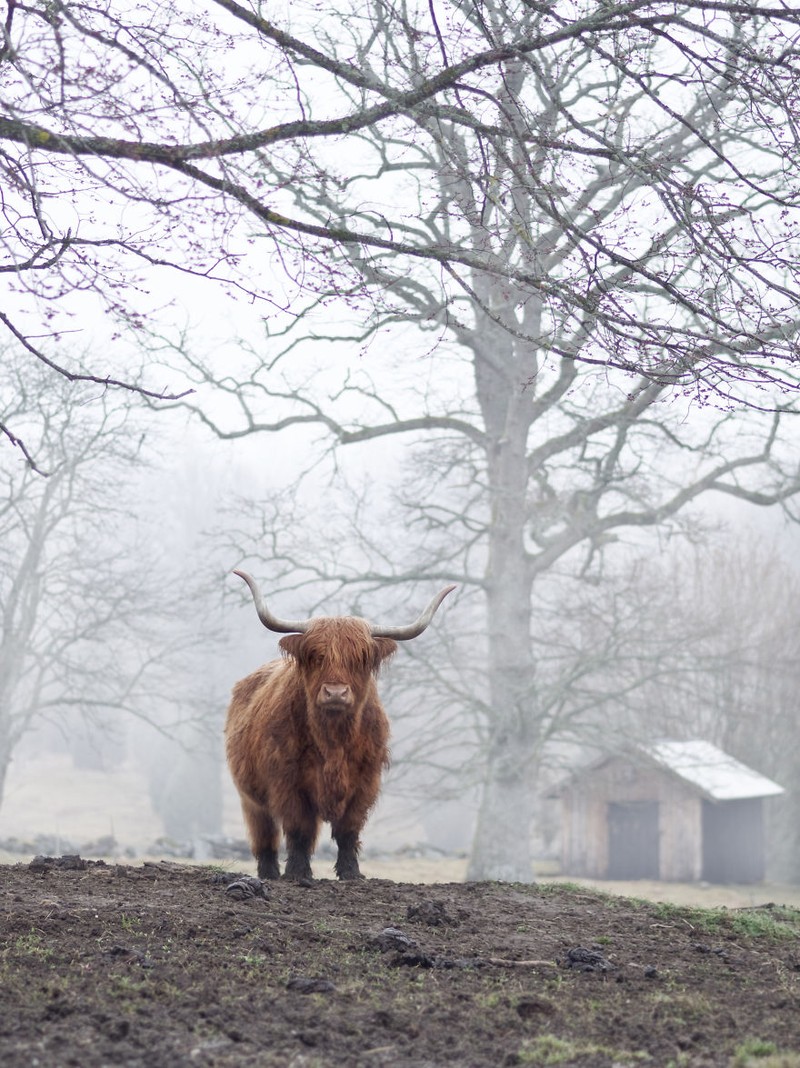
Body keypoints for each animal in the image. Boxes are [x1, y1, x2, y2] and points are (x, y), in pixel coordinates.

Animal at [224, 572, 455, 880]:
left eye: (360, 659)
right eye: (316, 656)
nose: (335, 693)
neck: (333, 739)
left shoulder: (365, 782)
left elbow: (348, 830)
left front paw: (350, 873)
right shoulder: (287, 782)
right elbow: (297, 828)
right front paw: (298, 873)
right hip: (250, 798)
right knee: (265, 835)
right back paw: (270, 874)